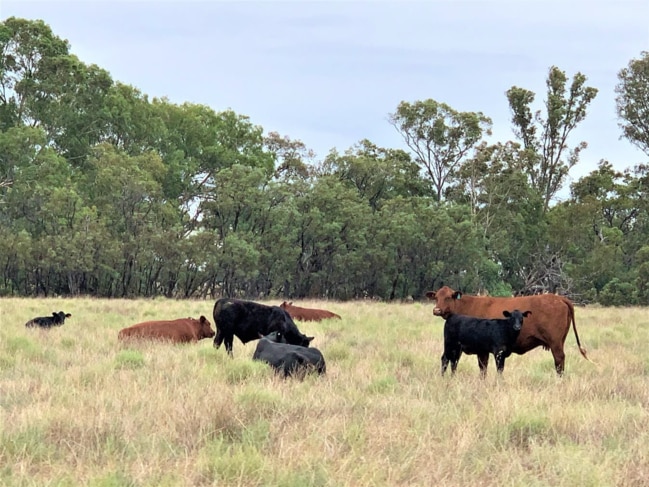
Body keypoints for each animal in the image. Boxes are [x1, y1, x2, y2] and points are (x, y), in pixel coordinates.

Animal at [422, 286, 588, 378]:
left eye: (448, 297)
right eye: (436, 297)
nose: (436, 310)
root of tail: (559, 298)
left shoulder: (483, 350)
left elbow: (483, 368)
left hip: (556, 343)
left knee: (559, 361)